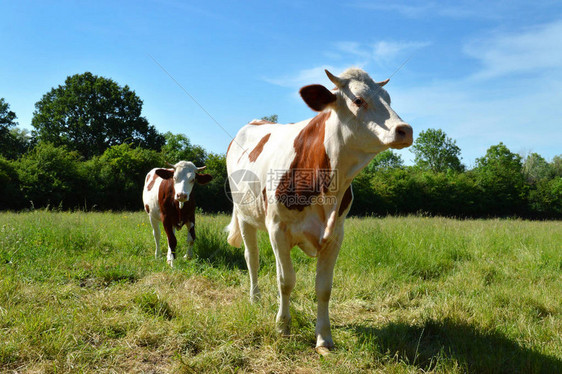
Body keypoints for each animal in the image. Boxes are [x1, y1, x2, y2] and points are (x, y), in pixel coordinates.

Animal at [224, 68, 412, 354]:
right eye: (358, 100)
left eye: (388, 98)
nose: (405, 130)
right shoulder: (278, 229)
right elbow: (286, 281)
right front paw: (283, 327)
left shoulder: (335, 235)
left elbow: (324, 288)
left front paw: (324, 338)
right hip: (245, 216)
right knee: (252, 258)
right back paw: (255, 298)